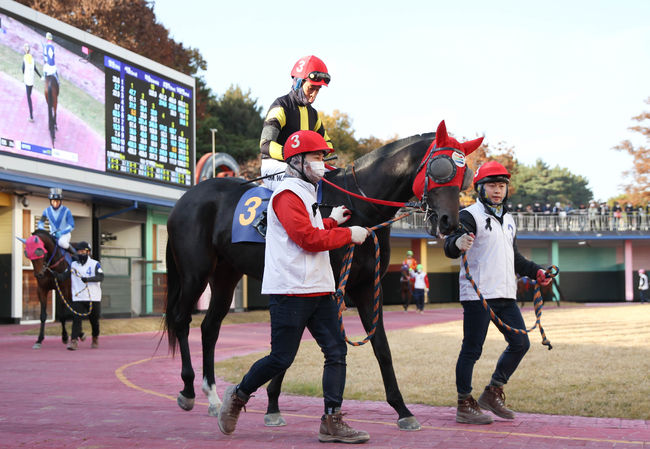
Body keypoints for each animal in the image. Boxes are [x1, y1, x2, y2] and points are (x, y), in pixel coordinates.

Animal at [165, 121, 478, 428]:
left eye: (465, 175)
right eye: (441, 168)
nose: (449, 222)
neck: (359, 206)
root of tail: (186, 198)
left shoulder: (366, 287)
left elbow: (381, 347)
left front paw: (402, 409)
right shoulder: (325, 288)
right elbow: (298, 347)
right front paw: (276, 405)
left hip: (225, 275)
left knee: (210, 328)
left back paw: (213, 397)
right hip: (195, 273)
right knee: (181, 320)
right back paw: (188, 390)